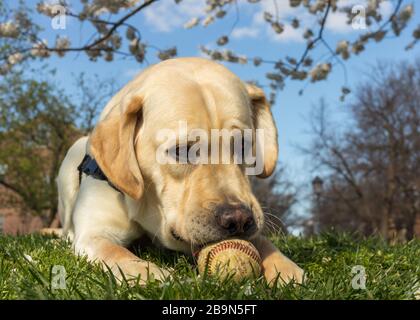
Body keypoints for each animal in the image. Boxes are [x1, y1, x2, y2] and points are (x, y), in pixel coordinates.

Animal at [57, 57, 304, 284]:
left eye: (243, 144)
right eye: (182, 150)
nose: (239, 220)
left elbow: (263, 241)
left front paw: (284, 268)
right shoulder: (94, 233)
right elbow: (117, 253)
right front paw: (152, 274)